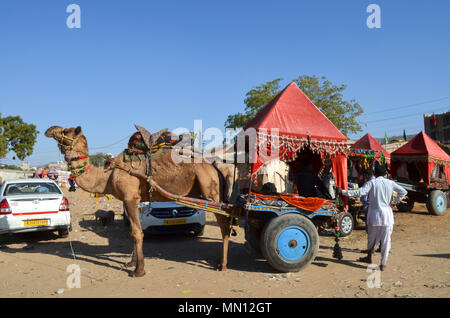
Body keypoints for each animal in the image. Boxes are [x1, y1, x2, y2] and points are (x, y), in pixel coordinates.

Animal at [44, 125, 237, 278]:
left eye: (65, 131)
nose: (49, 130)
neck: (107, 175)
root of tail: (215, 166)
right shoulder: (128, 200)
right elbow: (132, 231)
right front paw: (130, 263)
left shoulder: (130, 197)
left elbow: (137, 233)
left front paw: (138, 270)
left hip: (211, 192)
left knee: (224, 226)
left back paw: (223, 264)